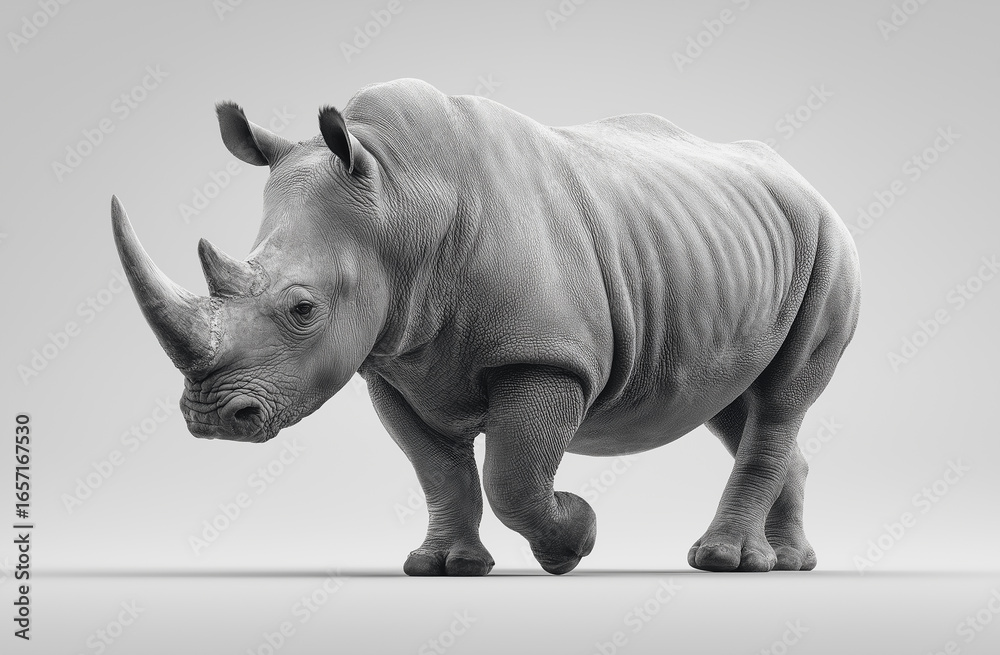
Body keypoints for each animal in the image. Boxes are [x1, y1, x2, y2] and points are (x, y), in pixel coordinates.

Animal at [111, 78, 860, 575]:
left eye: (303, 309)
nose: (211, 419)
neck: (399, 198)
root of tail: (801, 179)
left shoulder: (546, 355)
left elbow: (512, 474)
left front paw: (575, 537)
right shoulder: (392, 362)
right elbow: (436, 467)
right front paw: (444, 565)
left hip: (829, 245)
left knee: (782, 396)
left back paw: (724, 561)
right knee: (736, 402)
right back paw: (790, 562)